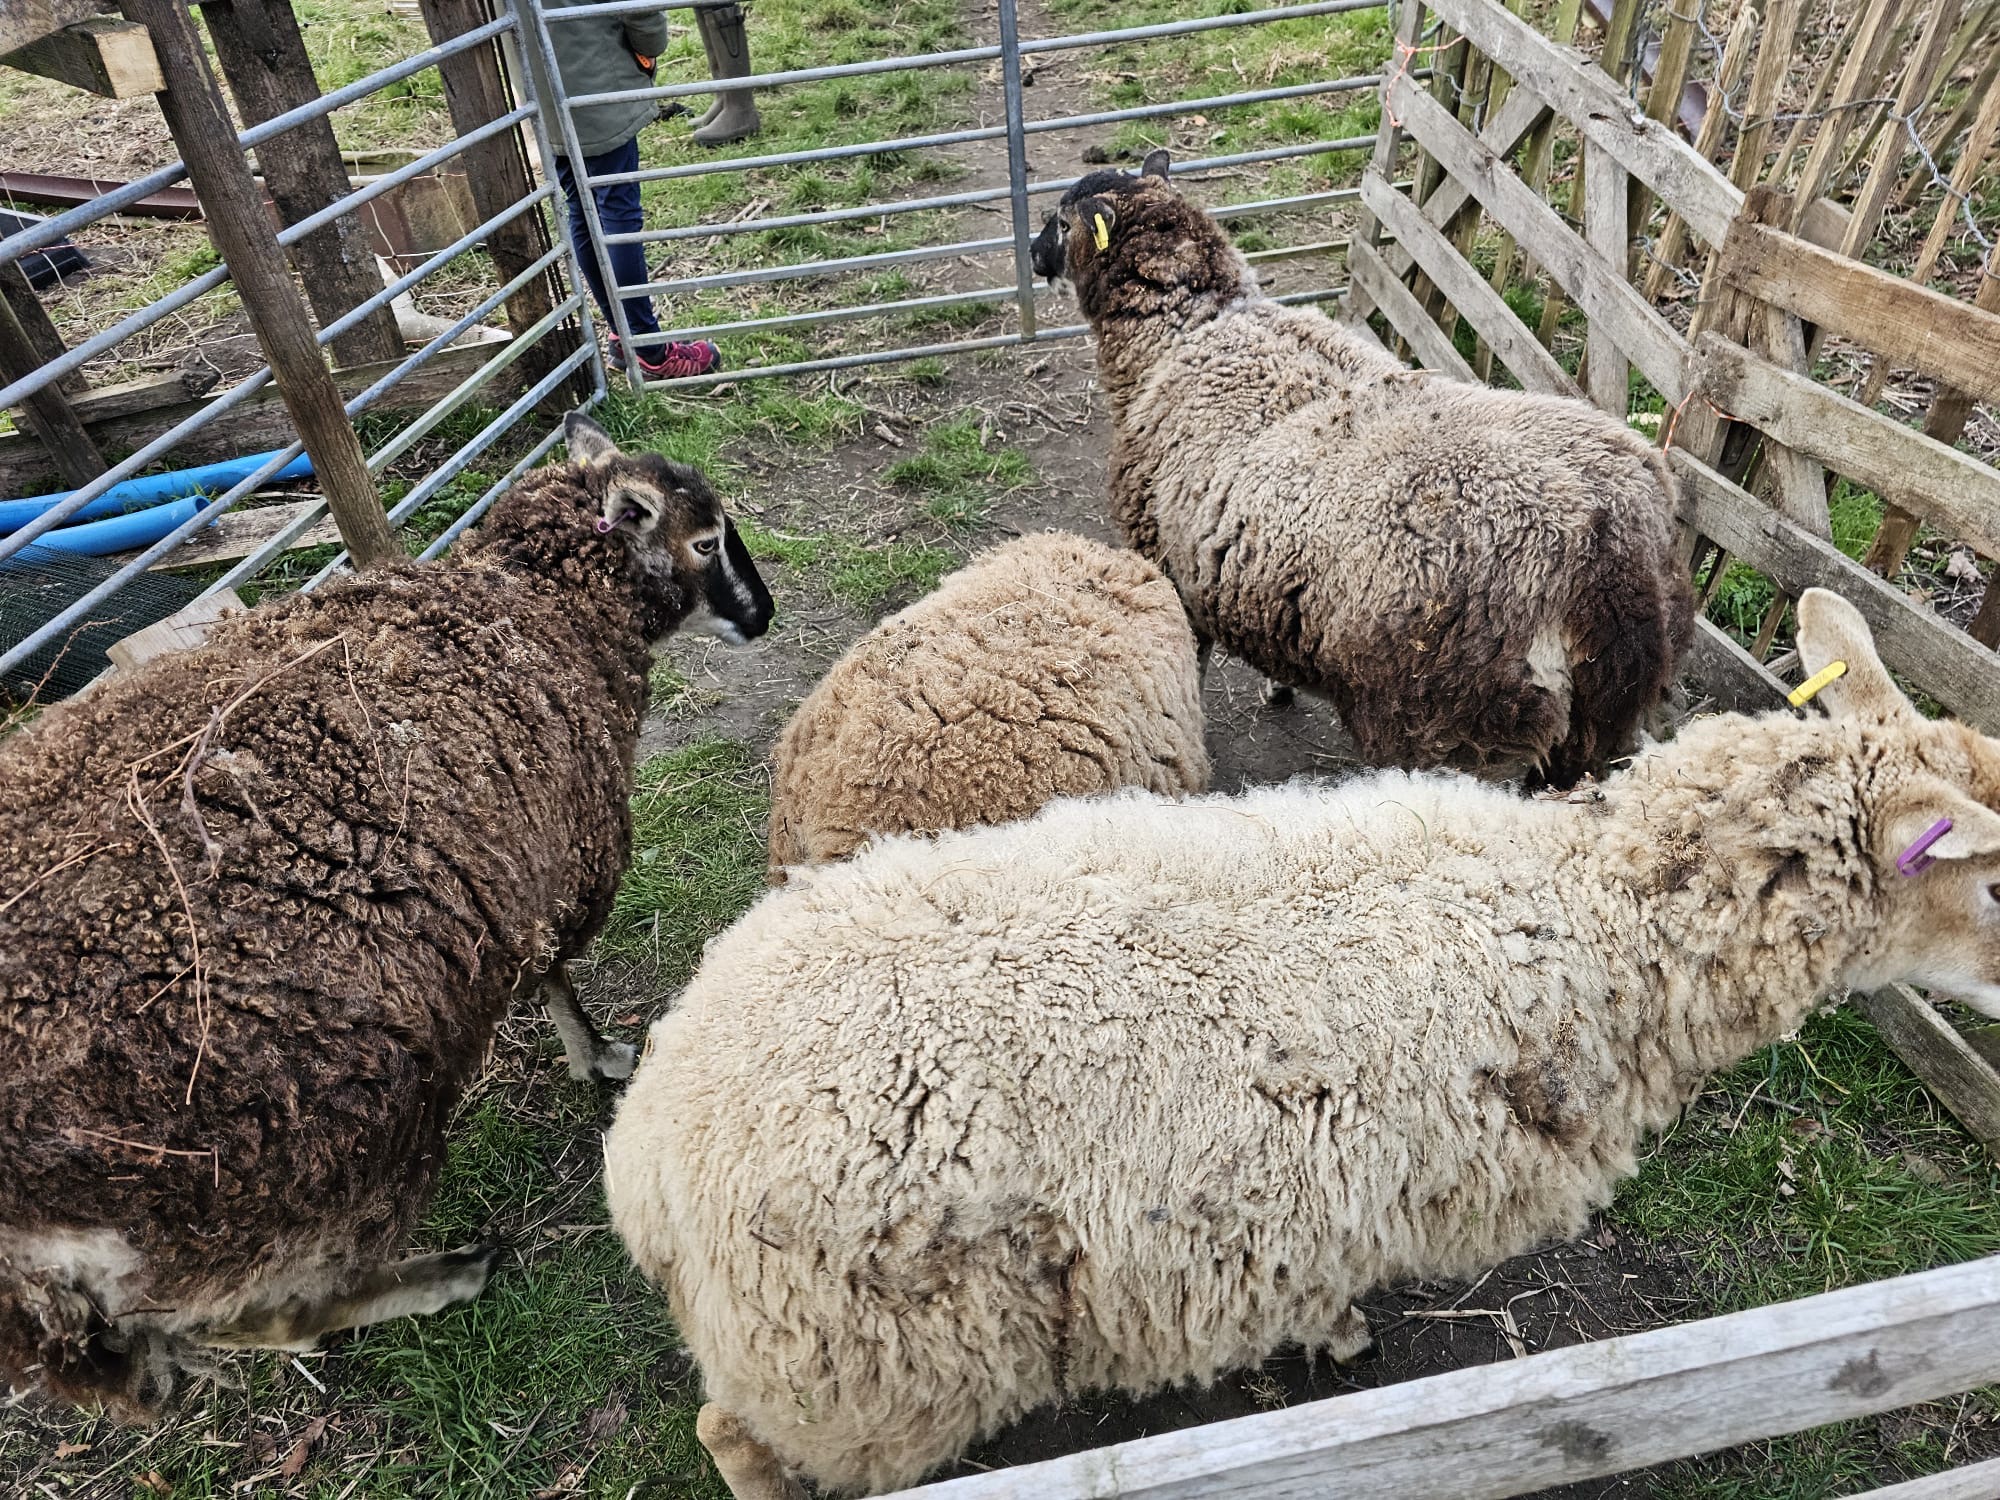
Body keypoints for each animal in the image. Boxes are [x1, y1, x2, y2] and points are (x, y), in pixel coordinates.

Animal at [0, 411, 772, 1418]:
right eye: (707, 541)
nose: (765, 615)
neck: (537, 605)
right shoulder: (549, 866)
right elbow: (556, 976)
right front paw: (598, 1057)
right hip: (293, 1160)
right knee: (270, 1308)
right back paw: (444, 1277)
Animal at [604, 587, 2000, 1499]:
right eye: (1991, 884)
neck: (1584, 916)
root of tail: (650, 1148)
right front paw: (1340, 1344)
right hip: (853, 1370)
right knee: (732, 1445)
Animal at [1026, 149, 1693, 788]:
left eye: (1060, 221)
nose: (1032, 255)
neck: (1192, 328)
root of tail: (1607, 559)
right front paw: (1279, 685)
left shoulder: (1169, 562)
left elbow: (1193, 658)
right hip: (1601, 723)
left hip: (1455, 723)